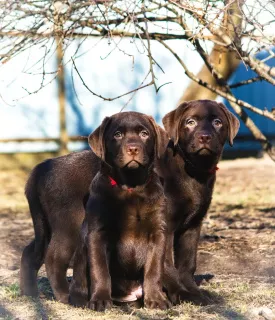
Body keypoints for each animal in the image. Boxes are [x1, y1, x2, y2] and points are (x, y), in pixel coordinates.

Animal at [161, 99, 240, 302]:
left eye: (217, 122)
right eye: (190, 122)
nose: (204, 137)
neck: (195, 171)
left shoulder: (193, 225)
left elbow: (188, 263)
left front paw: (193, 290)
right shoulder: (165, 226)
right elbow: (166, 263)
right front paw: (181, 293)